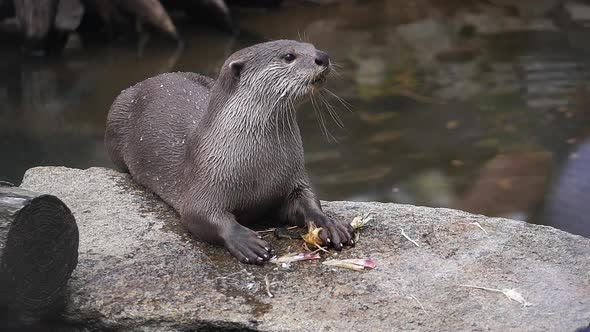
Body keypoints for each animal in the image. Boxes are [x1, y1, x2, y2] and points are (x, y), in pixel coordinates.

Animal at [106, 40, 354, 264]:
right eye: (289, 56)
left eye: (311, 46)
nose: (322, 56)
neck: (260, 166)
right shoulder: (205, 179)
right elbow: (199, 215)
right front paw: (246, 241)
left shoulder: (293, 177)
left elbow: (308, 200)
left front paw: (330, 224)